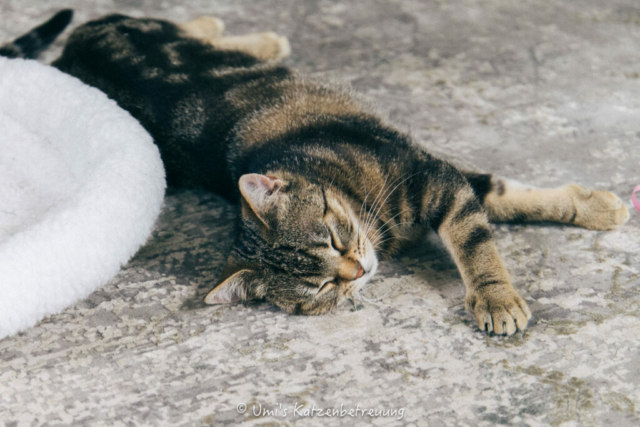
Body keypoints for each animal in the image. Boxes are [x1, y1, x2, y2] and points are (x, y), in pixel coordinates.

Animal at [1, 10, 632, 336]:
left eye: (330, 237)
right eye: (322, 288)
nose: (356, 272)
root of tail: (68, 55)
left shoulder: (433, 175)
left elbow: (485, 234)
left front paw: (500, 296)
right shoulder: (443, 179)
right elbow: (498, 203)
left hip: (149, 27)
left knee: (190, 24)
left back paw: (252, 33)